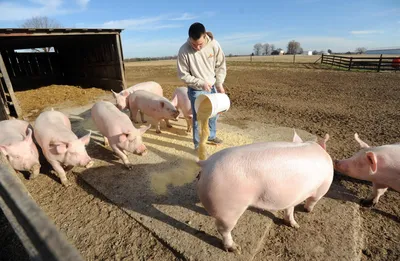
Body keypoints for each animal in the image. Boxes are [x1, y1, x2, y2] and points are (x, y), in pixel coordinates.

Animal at [195, 130, 332, 252]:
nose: (296, 225)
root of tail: (206, 163)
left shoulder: (293, 196)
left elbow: (290, 209)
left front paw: (295, 225)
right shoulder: (323, 187)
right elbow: (312, 200)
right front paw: (307, 211)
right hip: (229, 207)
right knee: (223, 230)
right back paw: (235, 249)